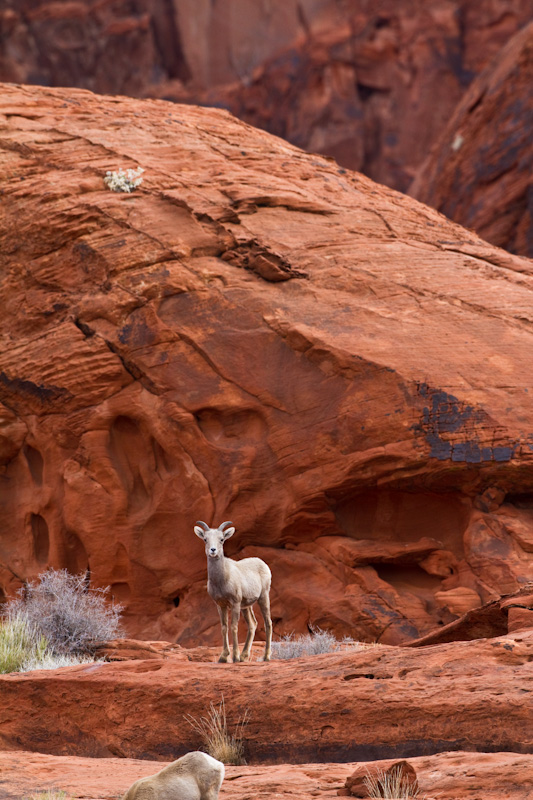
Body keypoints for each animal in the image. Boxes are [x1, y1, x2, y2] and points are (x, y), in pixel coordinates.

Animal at [193, 520, 272, 664]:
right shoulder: (220, 605)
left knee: (268, 623)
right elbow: (224, 628)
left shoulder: (235, 603)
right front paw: (223, 657)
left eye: (221, 539)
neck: (222, 580)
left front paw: (235, 657)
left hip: (263, 597)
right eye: (205, 539)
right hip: (246, 606)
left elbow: (234, 627)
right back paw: (244, 656)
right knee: (253, 624)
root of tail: (263, 564)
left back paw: (266, 657)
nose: (213, 550)